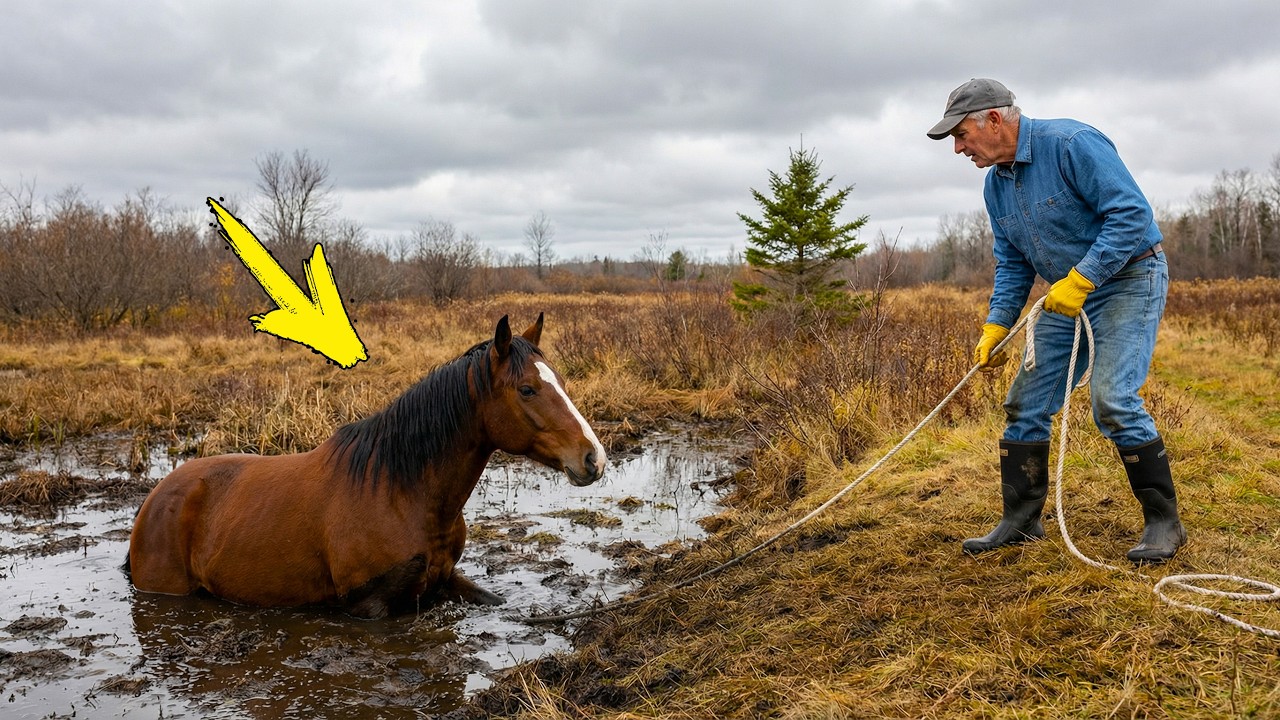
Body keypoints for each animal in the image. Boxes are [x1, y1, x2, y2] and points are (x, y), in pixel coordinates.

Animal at [127, 314, 606, 618]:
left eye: (561, 381)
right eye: (527, 389)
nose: (593, 457)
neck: (401, 491)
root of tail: (157, 497)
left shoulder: (445, 580)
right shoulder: (370, 606)